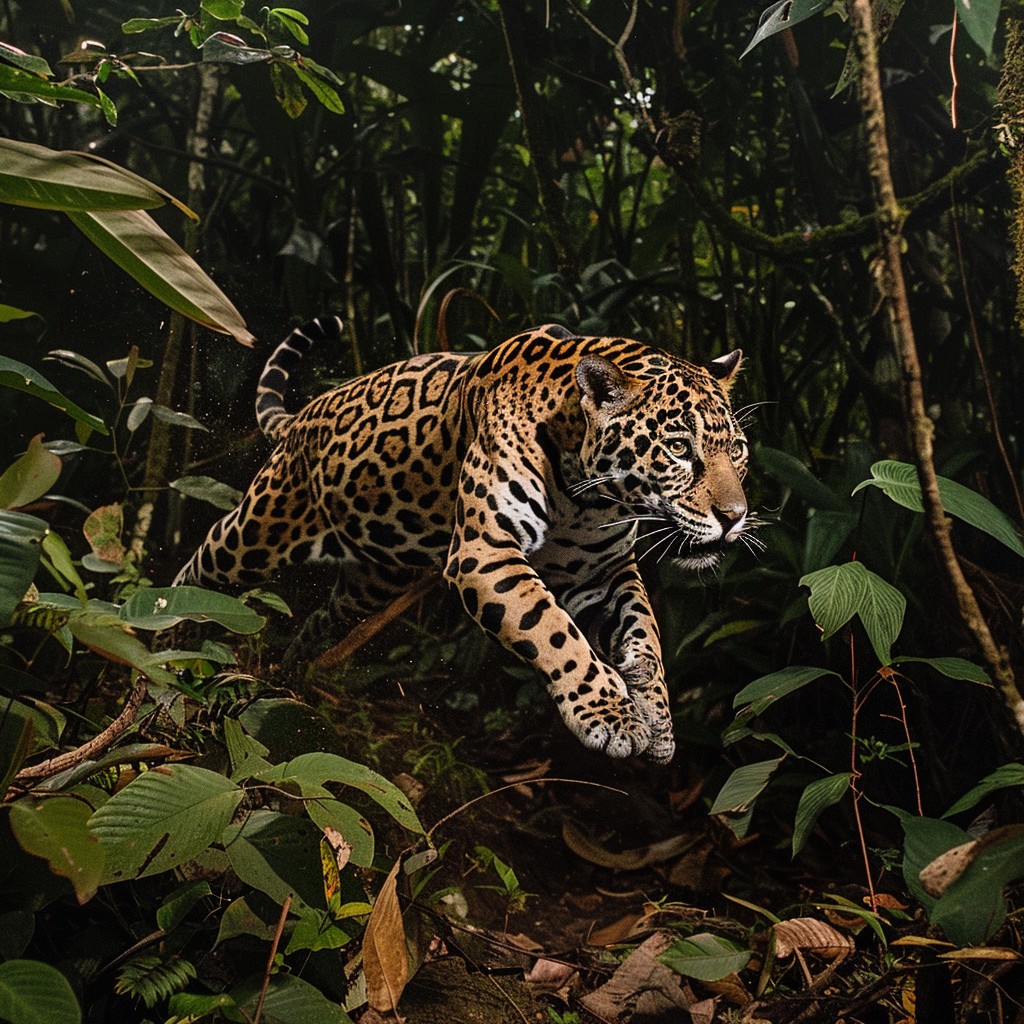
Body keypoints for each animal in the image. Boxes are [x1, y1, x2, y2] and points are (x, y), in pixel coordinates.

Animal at [174, 318, 752, 763]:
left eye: (738, 450)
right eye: (678, 448)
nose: (735, 516)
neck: (589, 498)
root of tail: (305, 415)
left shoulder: (604, 571)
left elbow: (646, 635)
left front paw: (657, 718)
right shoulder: (484, 552)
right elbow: (554, 631)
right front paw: (612, 716)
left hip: (375, 579)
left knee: (325, 615)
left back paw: (297, 667)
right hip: (263, 527)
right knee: (205, 563)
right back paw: (170, 639)